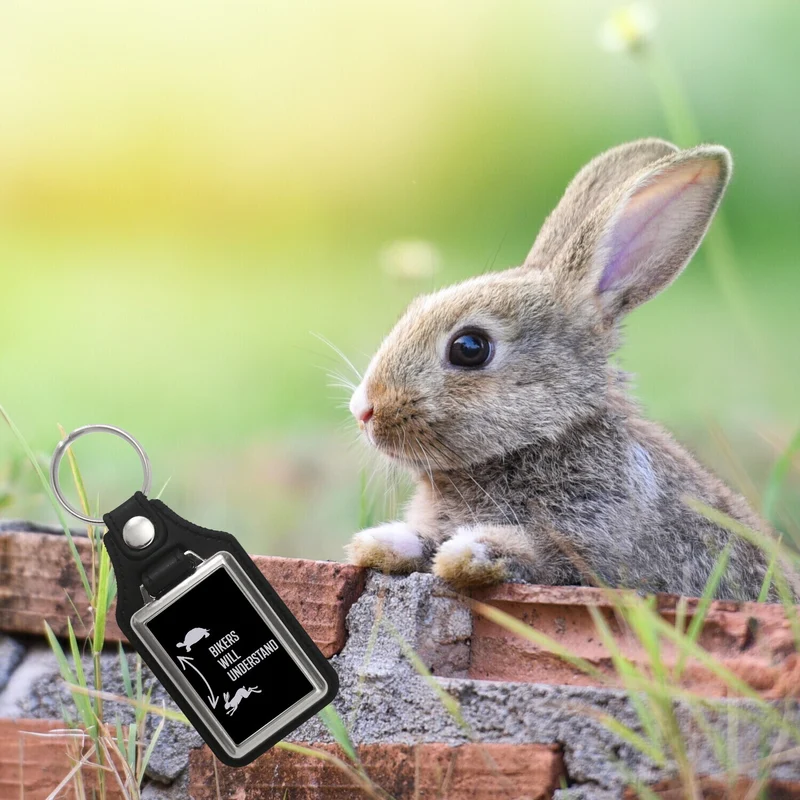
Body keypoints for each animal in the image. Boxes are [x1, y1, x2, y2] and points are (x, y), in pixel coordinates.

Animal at [344, 138, 777, 601]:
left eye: (470, 348)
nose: (363, 410)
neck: (544, 438)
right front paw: (380, 542)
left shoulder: (591, 545)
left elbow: (535, 554)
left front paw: (469, 552)